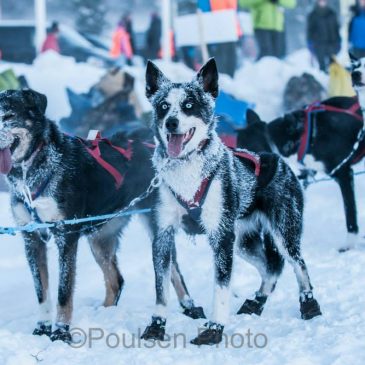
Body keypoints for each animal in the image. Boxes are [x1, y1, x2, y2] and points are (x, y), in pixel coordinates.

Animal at [0, 88, 205, 342]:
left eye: (8, 115)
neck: (34, 170)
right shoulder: (31, 238)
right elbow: (42, 291)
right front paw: (42, 327)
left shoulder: (66, 235)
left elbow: (63, 292)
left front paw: (61, 333)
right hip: (99, 238)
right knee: (116, 280)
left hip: (156, 228)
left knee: (173, 271)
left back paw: (190, 307)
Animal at [141, 59, 320, 344]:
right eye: (163, 106)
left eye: (189, 105)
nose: (171, 122)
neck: (186, 172)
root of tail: (277, 159)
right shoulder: (163, 234)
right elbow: (161, 288)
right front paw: (157, 326)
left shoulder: (221, 237)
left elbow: (221, 287)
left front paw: (214, 329)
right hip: (243, 242)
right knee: (271, 268)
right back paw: (256, 302)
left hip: (283, 232)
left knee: (297, 263)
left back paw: (309, 303)